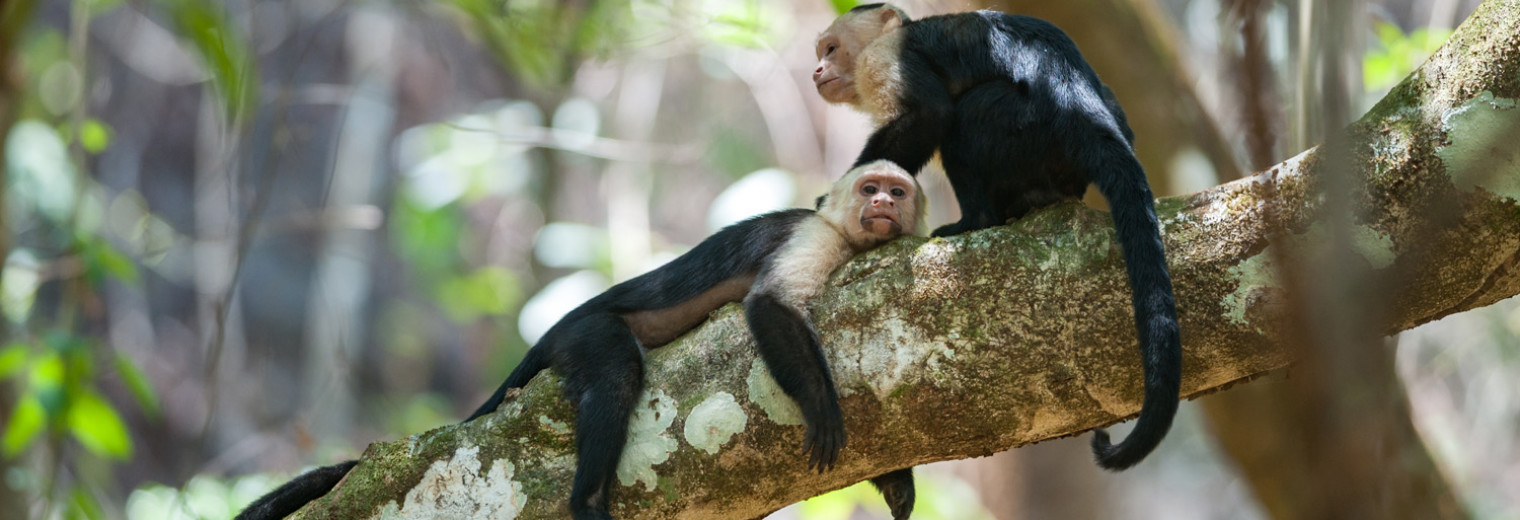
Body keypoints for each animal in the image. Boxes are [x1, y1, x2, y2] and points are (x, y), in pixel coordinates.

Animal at [235, 161, 924, 520]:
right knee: (616, 375)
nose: (885, 203)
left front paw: (896, 480)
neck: (844, 230)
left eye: (898, 191)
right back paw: (586, 500)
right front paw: (825, 410)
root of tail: (555, 329)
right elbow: (771, 306)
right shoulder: (816, 235)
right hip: (585, 333)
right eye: (871, 189)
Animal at [814, 2, 1179, 516]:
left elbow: (930, 114)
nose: (817, 70)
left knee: (967, 117)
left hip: (1026, 125)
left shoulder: (885, 59)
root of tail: (1079, 103)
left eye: (831, 48)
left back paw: (977, 220)